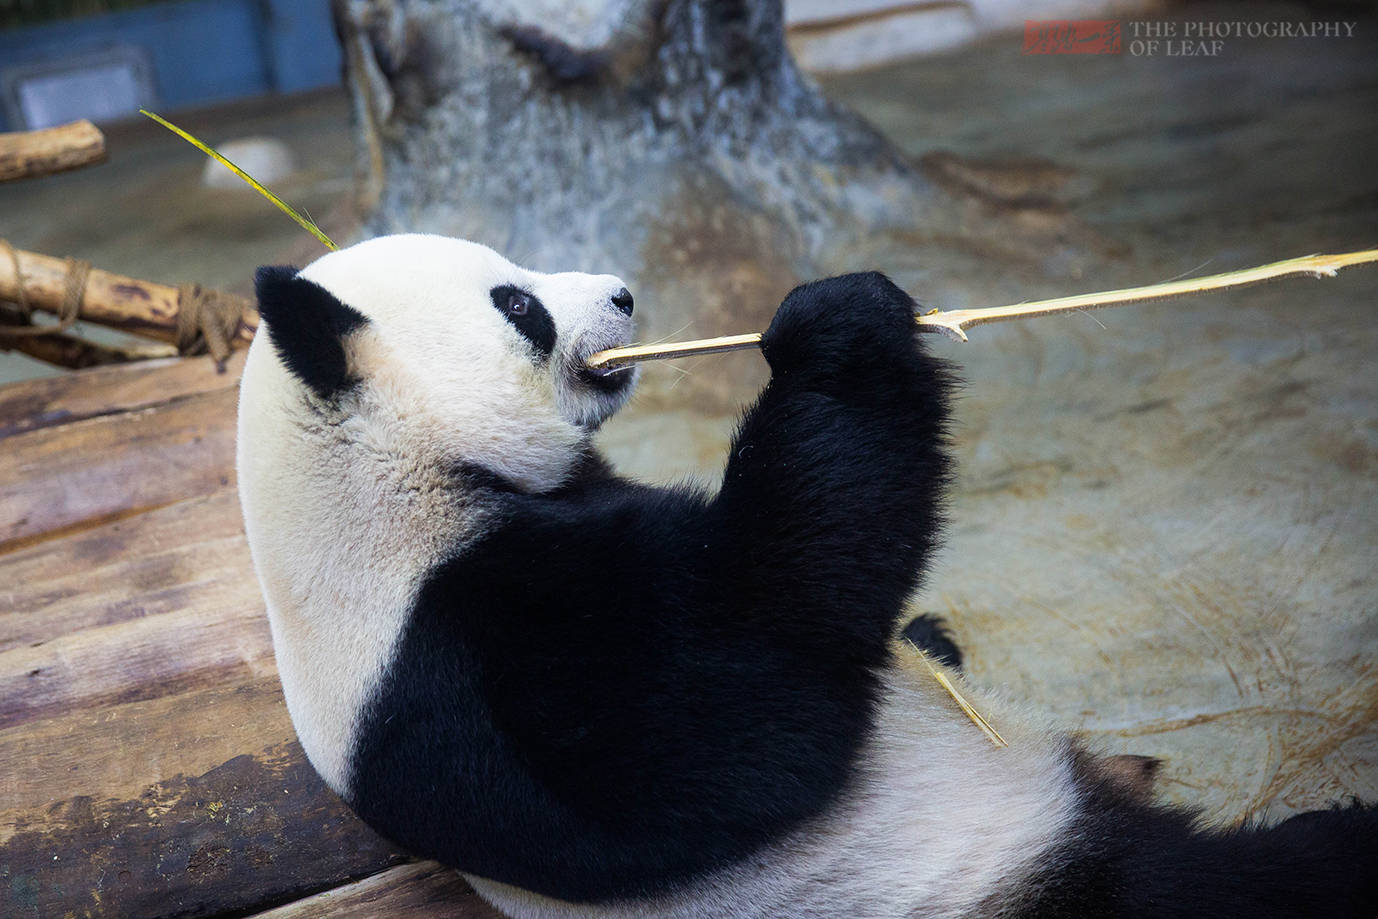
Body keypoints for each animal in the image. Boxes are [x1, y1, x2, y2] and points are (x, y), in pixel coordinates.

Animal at [239, 235, 1378, 919]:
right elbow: (737, 718)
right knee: (1228, 888)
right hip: (1014, 881)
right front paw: (838, 329)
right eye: (517, 303)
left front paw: (932, 638)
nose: (622, 293)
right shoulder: (460, 645)